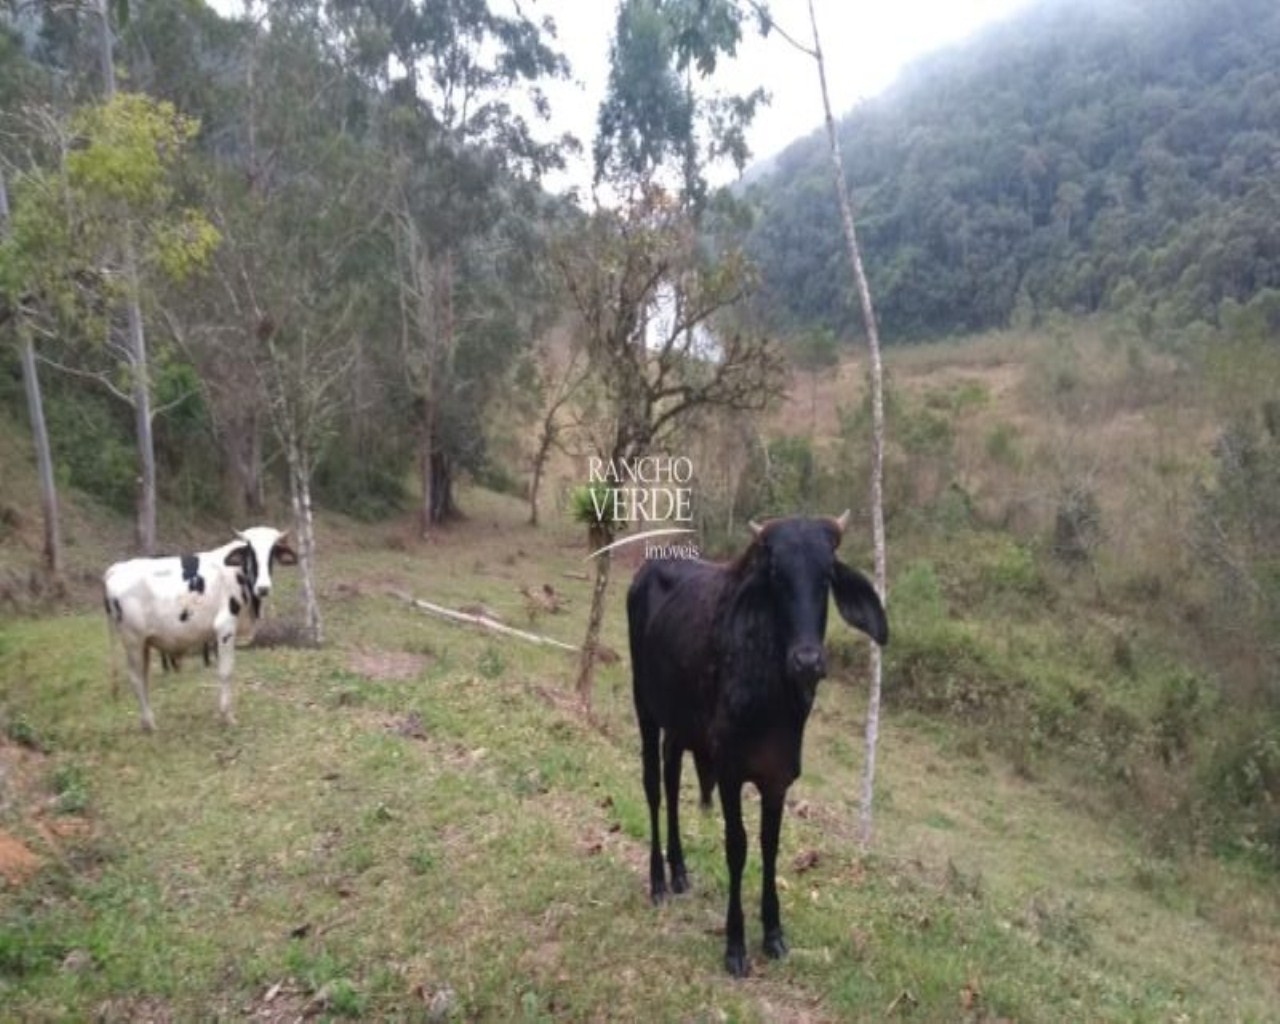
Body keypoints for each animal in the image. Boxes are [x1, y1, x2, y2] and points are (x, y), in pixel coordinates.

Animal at [102, 524, 296, 732]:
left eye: (272, 551)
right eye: (250, 551)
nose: (263, 588)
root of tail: (117, 568)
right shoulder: (225, 628)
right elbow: (226, 671)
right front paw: (227, 717)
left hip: (144, 642)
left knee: (144, 677)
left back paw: (147, 722)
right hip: (133, 640)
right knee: (137, 679)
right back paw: (150, 724)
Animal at [627, 512, 890, 977]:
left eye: (826, 576)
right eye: (776, 576)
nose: (807, 661)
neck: (773, 698)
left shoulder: (778, 778)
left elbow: (770, 847)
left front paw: (772, 933)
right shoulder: (730, 773)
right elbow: (738, 846)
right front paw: (735, 945)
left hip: (679, 727)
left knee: (673, 784)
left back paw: (679, 871)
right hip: (645, 707)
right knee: (654, 787)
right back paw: (657, 879)